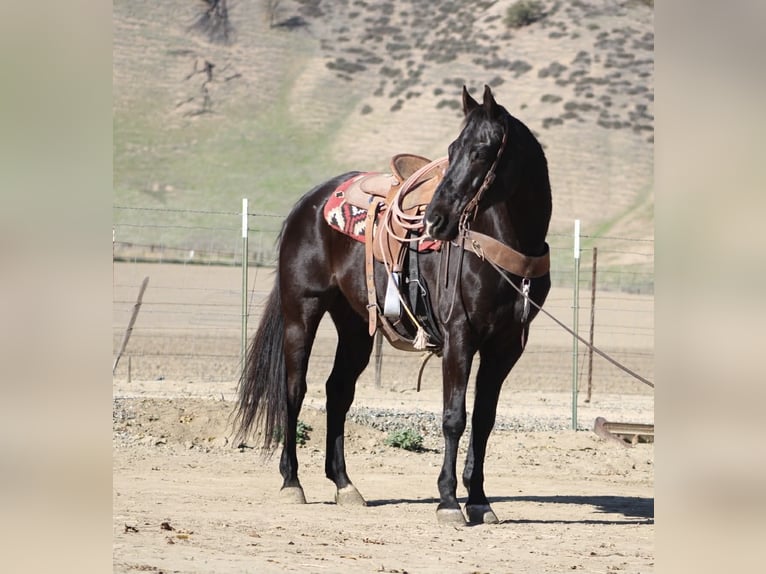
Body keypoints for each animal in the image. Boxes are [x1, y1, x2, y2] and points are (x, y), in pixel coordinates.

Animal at [234, 85, 552, 525]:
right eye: (452, 148)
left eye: (481, 151)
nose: (435, 220)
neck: (500, 246)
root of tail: (309, 202)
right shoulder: (459, 336)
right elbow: (454, 417)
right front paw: (449, 501)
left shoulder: (505, 347)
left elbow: (484, 421)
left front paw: (480, 501)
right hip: (303, 310)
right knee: (294, 388)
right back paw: (291, 482)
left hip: (354, 325)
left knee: (338, 391)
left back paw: (345, 485)